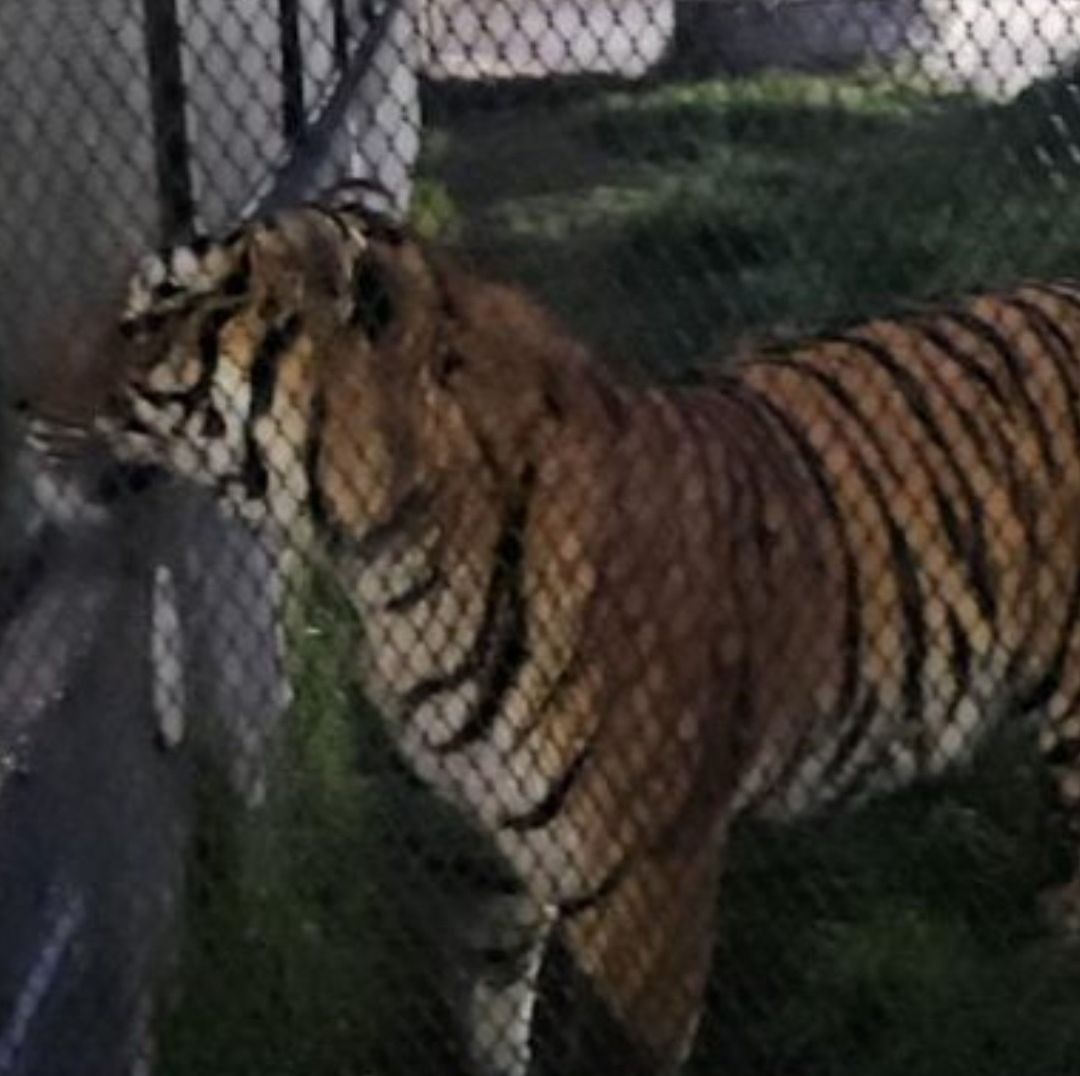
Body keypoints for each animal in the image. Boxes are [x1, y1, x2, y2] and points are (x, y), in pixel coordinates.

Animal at [25, 184, 1080, 1076]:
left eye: (154, 312)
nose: (19, 400)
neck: (383, 558)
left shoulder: (645, 885)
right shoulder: (485, 852)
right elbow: (495, 1023)